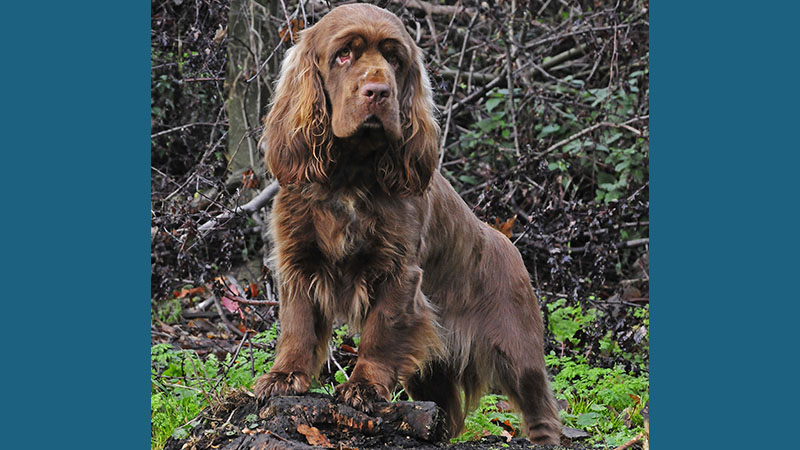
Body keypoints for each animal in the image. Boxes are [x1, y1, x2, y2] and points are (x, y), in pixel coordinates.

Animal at [253, 3, 560, 442]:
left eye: (394, 58)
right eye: (344, 54)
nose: (378, 92)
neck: (349, 174)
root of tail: (507, 243)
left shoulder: (399, 271)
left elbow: (380, 333)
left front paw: (363, 387)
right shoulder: (298, 261)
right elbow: (298, 325)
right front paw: (284, 376)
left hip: (518, 351)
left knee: (541, 408)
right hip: (436, 369)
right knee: (446, 411)